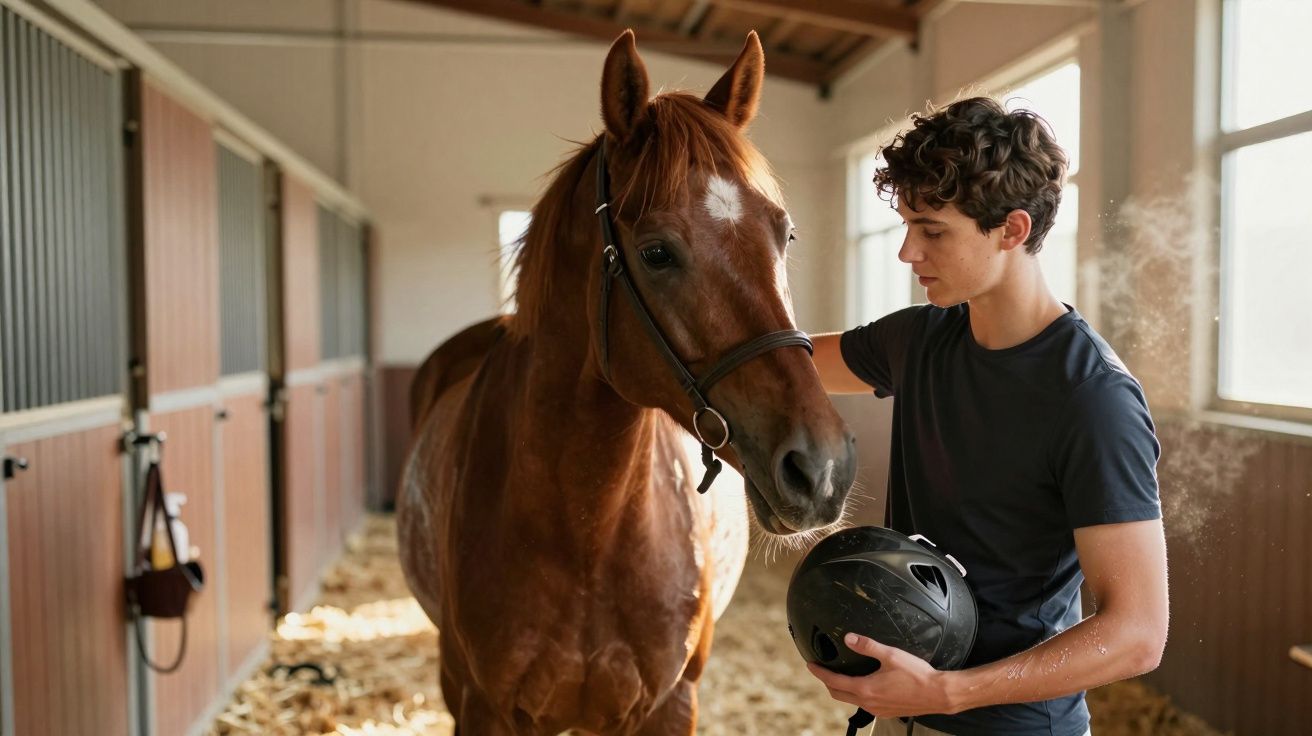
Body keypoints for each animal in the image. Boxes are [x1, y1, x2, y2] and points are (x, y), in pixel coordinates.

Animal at [397, 30, 859, 735]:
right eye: (657, 253)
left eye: (785, 234)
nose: (822, 467)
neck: (588, 530)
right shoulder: (480, 707)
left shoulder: (669, 706)